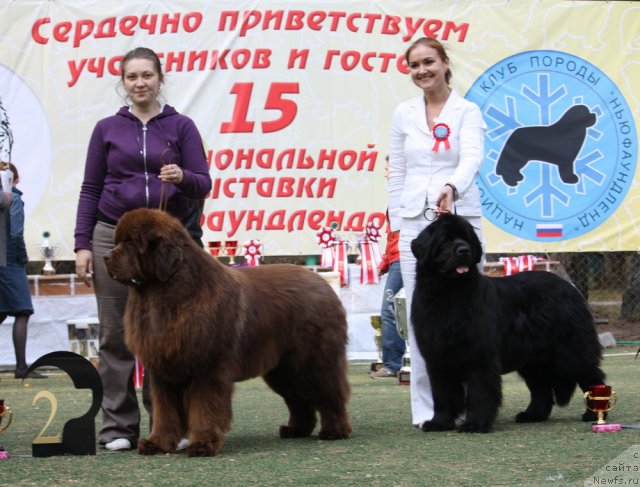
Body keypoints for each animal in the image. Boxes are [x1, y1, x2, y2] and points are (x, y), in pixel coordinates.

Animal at [106, 209, 356, 458]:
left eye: (130, 243)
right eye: (117, 242)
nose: (106, 257)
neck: (165, 293)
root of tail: (323, 283)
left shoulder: (207, 368)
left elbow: (204, 408)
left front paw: (202, 444)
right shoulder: (164, 369)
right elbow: (165, 412)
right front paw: (157, 443)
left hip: (312, 362)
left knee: (330, 394)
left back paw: (335, 431)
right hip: (282, 370)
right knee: (298, 399)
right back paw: (296, 429)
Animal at [410, 215, 604, 432]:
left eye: (467, 239)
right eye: (446, 240)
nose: (464, 250)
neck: (448, 294)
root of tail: (569, 286)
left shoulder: (480, 356)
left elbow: (479, 392)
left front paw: (475, 424)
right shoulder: (437, 357)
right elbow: (442, 393)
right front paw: (439, 423)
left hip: (570, 350)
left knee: (591, 376)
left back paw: (593, 414)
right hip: (532, 358)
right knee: (541, 388)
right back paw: (532, 415)